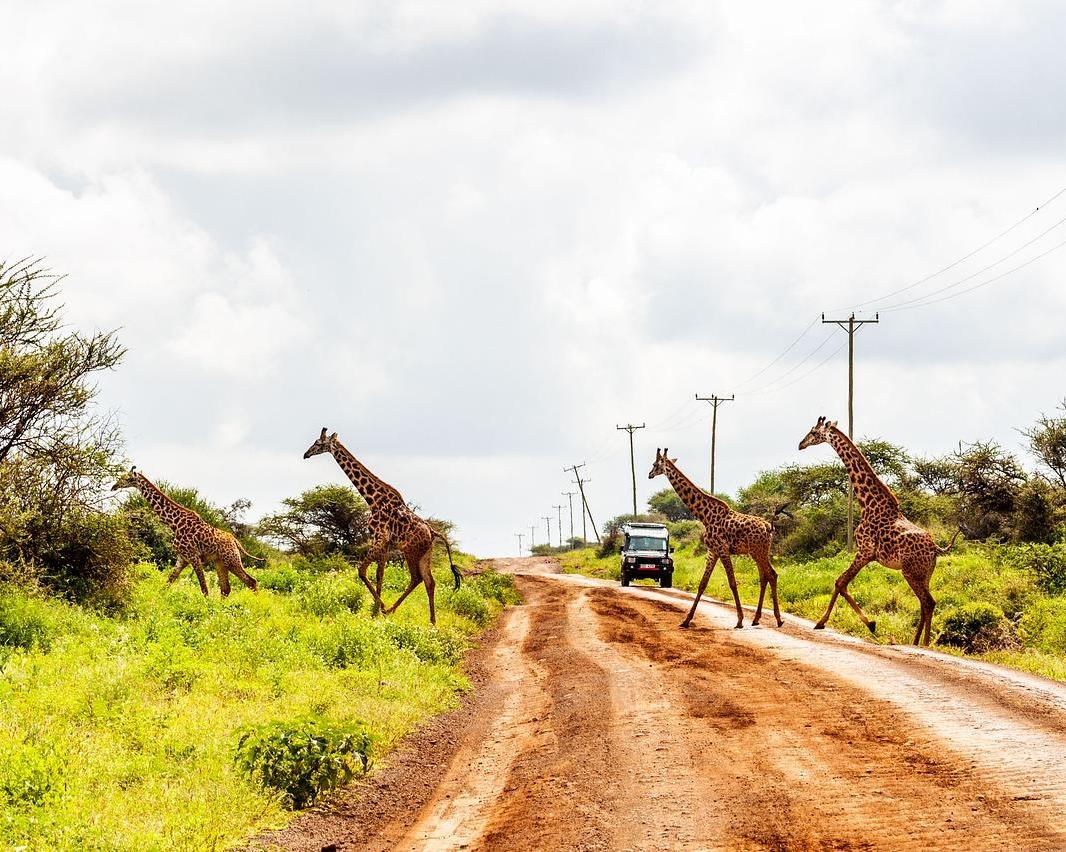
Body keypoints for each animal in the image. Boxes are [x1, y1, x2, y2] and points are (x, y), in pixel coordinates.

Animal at [110, 467, 262, 601]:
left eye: (128, 478)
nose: (114, 486)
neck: (174, 524)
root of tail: (235, 541)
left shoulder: (193, 556)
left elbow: (204, 588)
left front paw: (207, 608)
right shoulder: (182, 558)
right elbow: (167, 583)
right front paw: (156, 602)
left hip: (231, 560)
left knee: (251, 581)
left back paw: (258, 605)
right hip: (220, 562)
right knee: (226, 589)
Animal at [304, 430, 462, 622]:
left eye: (319, 443)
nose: (306, 454)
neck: (373, 500)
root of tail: (433, 532)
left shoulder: (379, 538)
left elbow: (362, 571)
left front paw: (380, 607)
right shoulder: (385, 543)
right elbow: (380, 574)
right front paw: (376, 610)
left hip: (411, 551)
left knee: (417, 578)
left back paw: (392, 610)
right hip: (425, 554)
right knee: (429, 581)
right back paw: (432, 621)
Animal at [639, 449, 784, 631]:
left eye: (655, 464)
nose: (649, 474)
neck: (705, 516)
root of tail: (769, 527)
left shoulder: (722, 549)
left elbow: (732, 582)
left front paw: (739, 620)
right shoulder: (712, 551)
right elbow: (702, 584)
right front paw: (686, 620)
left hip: (758, 551)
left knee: (771, 574)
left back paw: (778, 619)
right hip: (758, 552)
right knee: (765, 576)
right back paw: (757, 619)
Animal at [801, 415, 959, 648]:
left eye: (813, 432)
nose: (800, 444)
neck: (867, 504)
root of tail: (936, 549)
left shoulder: (864, 552)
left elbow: (840, 582)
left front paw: (826, 622)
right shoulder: (868, 555)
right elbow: (842, 582)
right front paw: (870, 623)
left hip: (910, 572)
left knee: (929, 602)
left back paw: (923, 644)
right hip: (925, 574)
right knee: (924, 603)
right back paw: (915, 642)